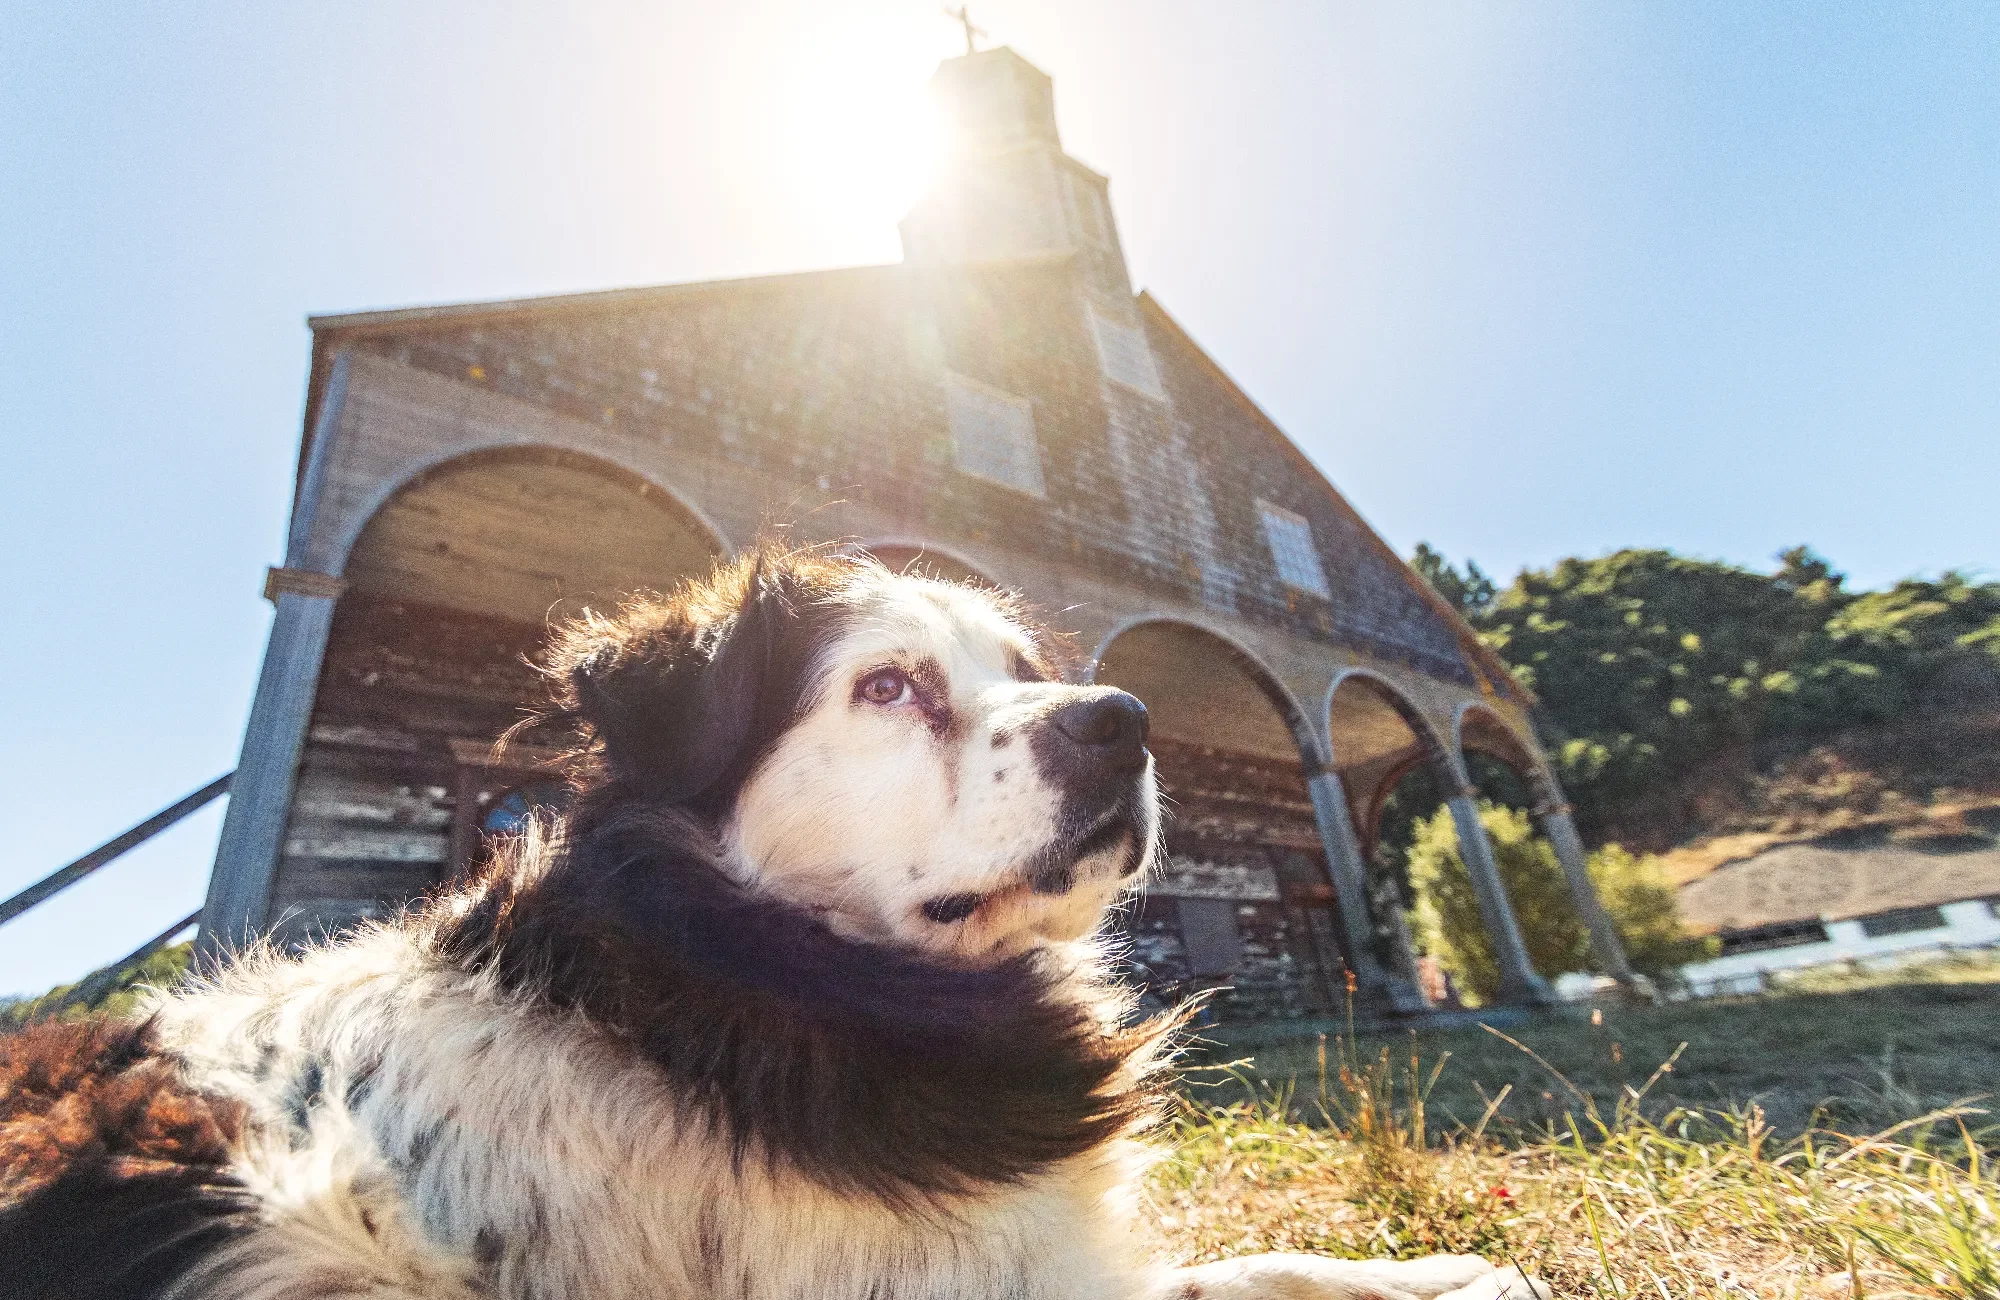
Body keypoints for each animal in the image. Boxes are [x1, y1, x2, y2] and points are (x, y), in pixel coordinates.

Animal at [0, 548, 1544, 1296]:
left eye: (1024, 670)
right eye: (887, 687)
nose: (1124, 720)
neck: (736, 969)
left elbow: (1258, 1268)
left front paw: (1439, 1269)